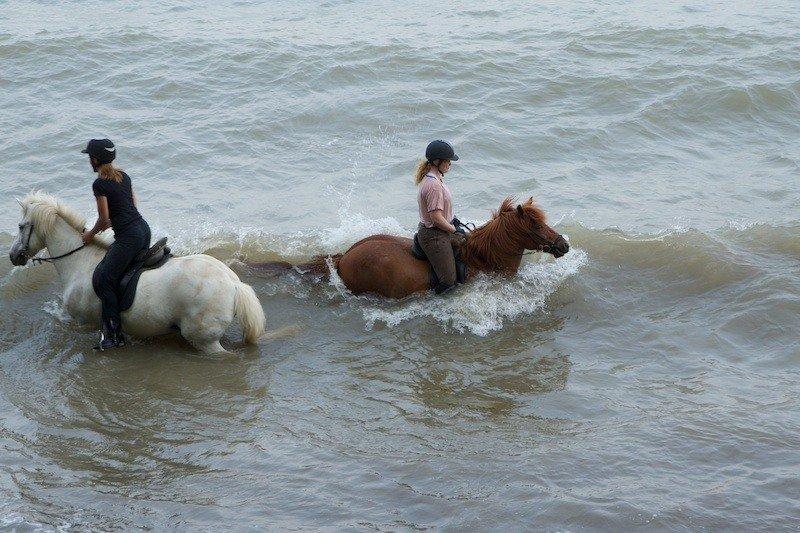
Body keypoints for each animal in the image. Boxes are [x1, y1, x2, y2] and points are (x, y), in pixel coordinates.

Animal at [7, 192, 266, 354]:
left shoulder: (80, 322)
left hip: (205, 340)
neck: (79, 262)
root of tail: (234, 284)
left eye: (20, 226)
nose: (13, 255)